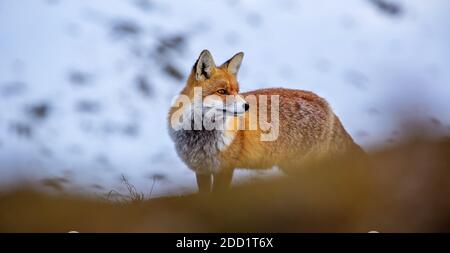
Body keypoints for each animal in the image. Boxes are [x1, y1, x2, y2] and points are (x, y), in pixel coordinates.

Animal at [168, 49, 362, 192]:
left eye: (237, 90)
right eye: (222, 91)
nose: (246, 106)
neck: (201, 136)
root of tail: (326, 104)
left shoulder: (225, 169)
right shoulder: (202, 170)